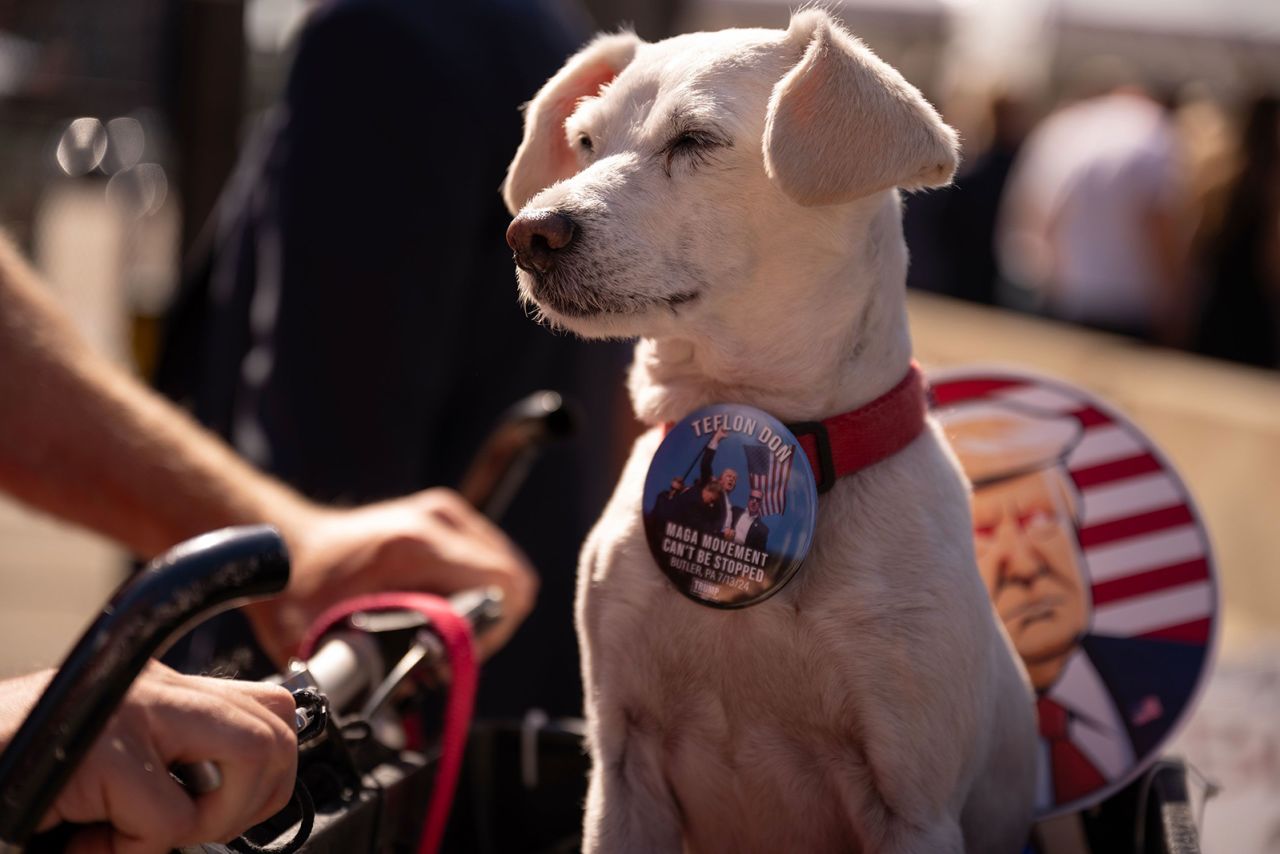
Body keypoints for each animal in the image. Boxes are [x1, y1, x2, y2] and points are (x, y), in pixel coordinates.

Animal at [501, 10, 1039, 850]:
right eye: (584, 141)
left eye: (694, 139)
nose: (529, 233)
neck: (764, 416)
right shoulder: (621, 766)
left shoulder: (915, 805)